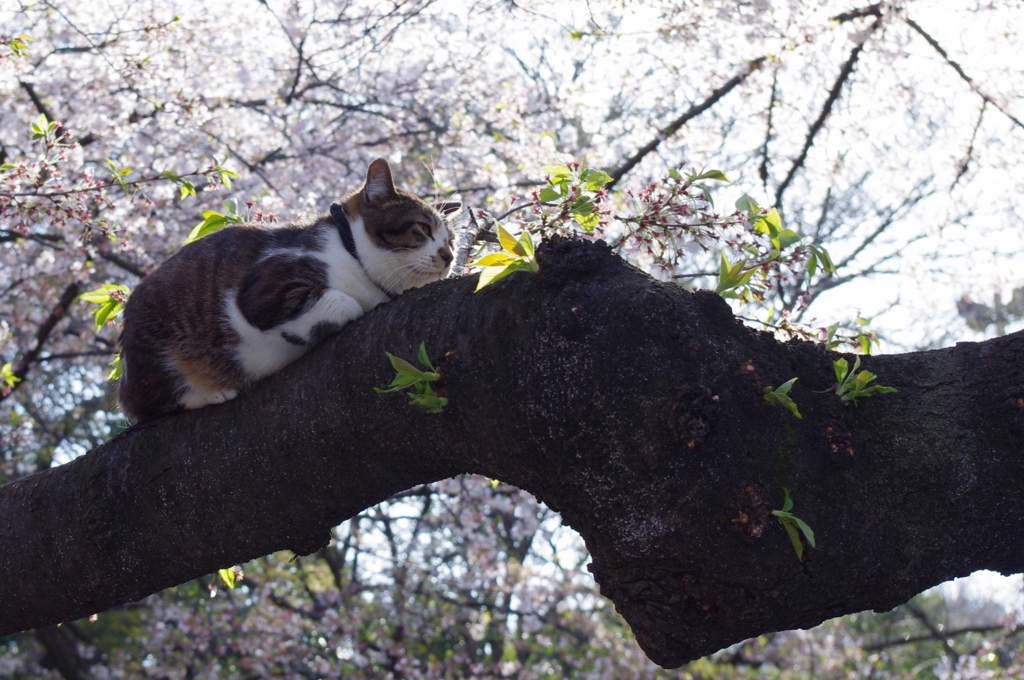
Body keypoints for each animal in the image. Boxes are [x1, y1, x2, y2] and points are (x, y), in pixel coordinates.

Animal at [116, 159, 460, 421]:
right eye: (423, 229)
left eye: (452, 240)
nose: (449, 256)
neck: (350, 254)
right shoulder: (266, 288)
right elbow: (340, 302)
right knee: (143, 407)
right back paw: (212, 393)